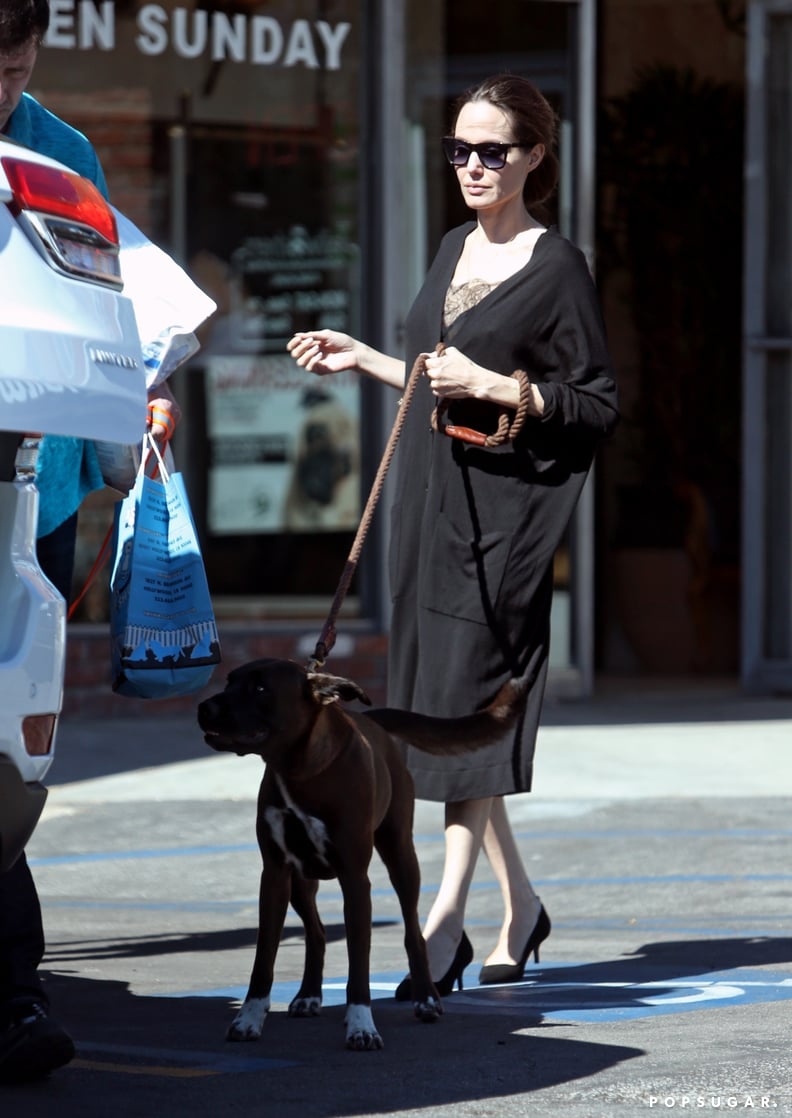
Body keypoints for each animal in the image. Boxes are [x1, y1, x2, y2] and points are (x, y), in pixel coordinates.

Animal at [194, 652, 523, 1046]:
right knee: (317, 934)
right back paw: (308, 995)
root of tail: (372, 720)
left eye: (259, 688)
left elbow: (359, 963)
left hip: (401, 857)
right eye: (229, 681)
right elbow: (263, 958)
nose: (203, 708)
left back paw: (426, 998)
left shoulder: (355, 879)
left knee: (414, 933)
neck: (300, 770)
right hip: (300, 883)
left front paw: (361, 1025)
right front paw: (249, 1018)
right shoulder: (274, 875)